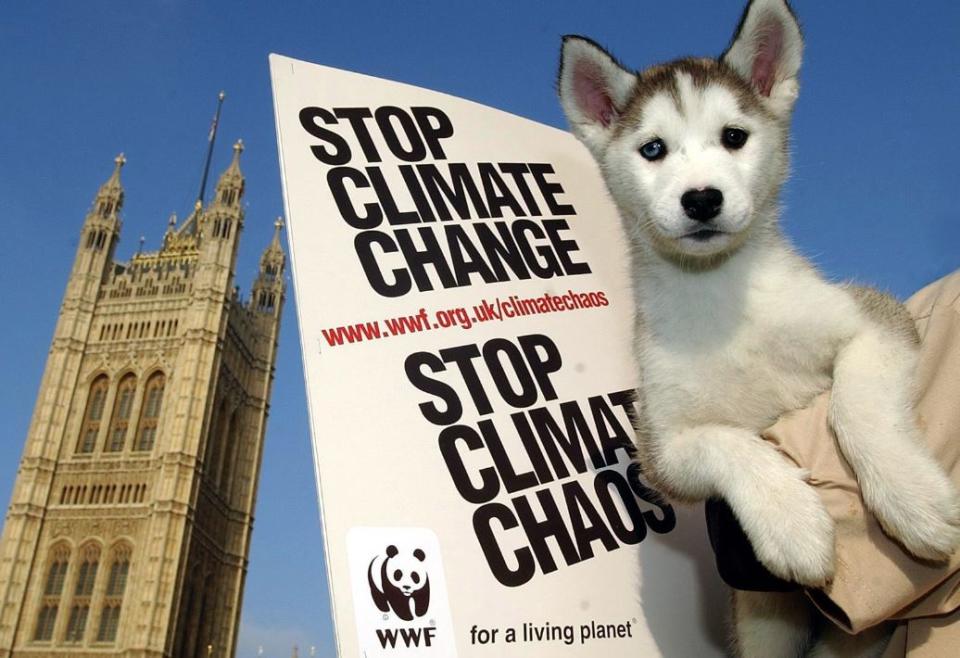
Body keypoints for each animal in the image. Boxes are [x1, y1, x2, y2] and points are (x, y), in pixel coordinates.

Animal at [560, 0, 956, 652]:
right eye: (652, 149)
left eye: (733, 137)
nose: (701, 199)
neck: (720, 297)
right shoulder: (662, 445)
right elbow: (727, 441)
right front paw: (791, 521)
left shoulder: (872, 317)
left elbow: (857, 406)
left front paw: (912, 498)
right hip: (763, 625)